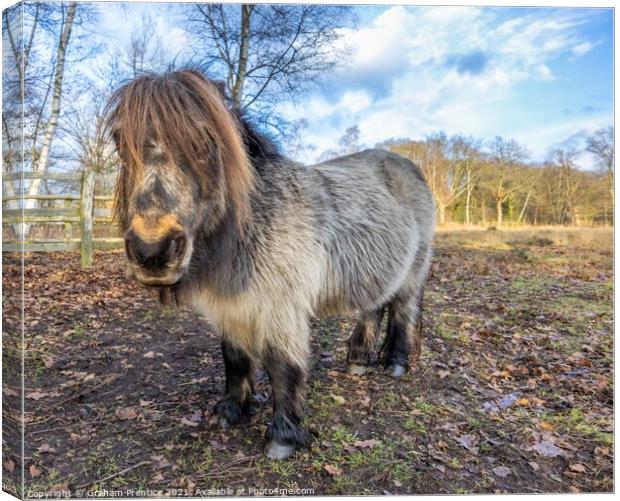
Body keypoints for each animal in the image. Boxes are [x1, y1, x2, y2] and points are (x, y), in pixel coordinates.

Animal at [105, 69, 436, 458]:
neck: (252, 223)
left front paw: (283, 436)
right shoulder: (230, 307)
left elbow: (282, 365)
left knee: (404, 311)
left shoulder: (283, 308)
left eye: (205, 138)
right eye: (119, 140)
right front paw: (232, 411)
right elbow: (234, 357)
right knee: (373, 307)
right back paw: (358, 360)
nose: (153, 252)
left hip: (413, 273)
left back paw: (397, 364)